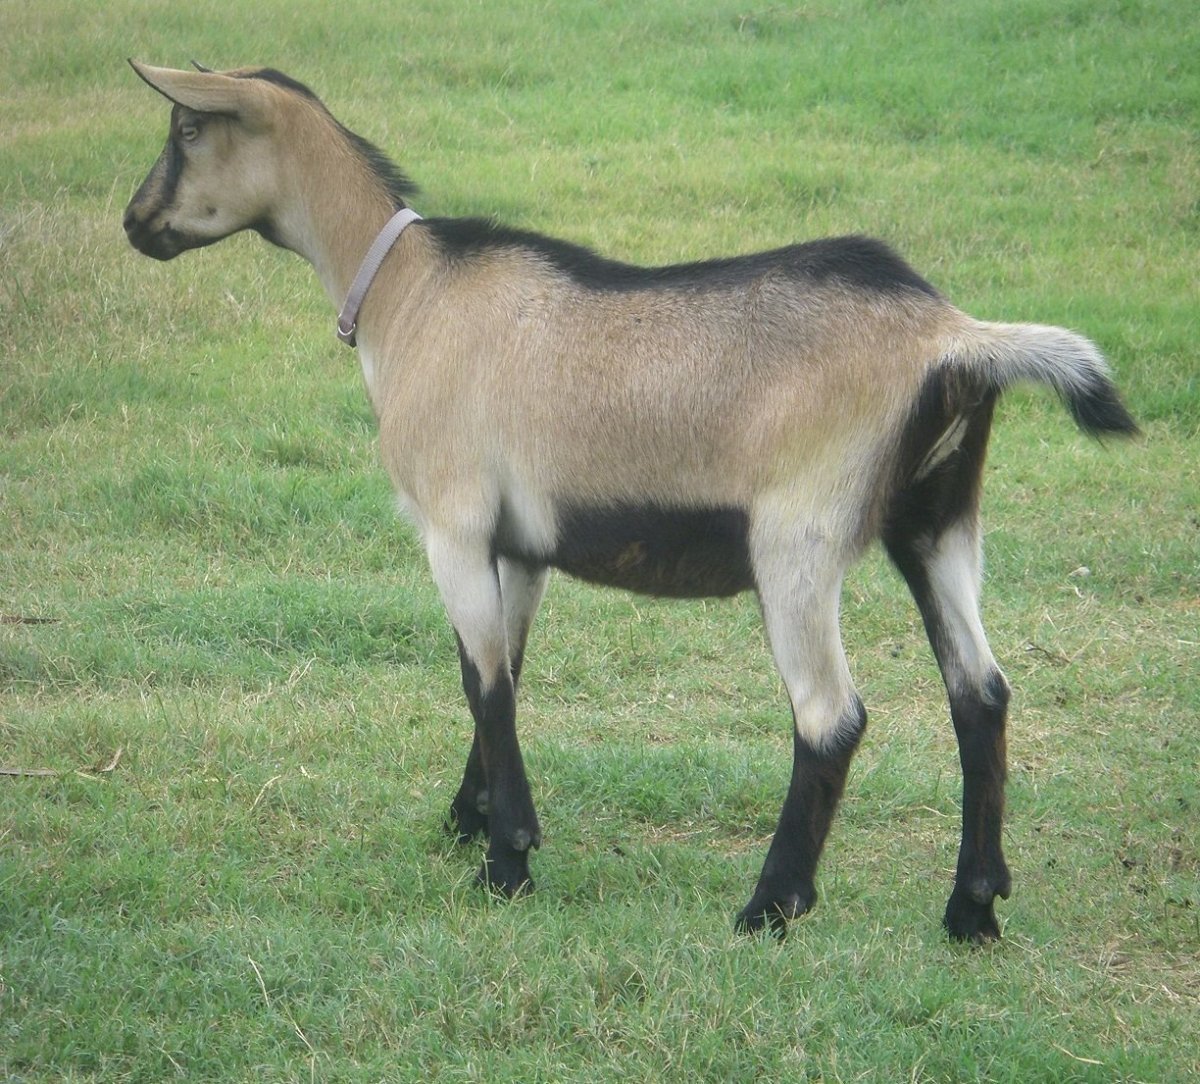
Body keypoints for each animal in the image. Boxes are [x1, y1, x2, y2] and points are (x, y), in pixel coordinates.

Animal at [123, 61, 1138, 942]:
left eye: (186, 127)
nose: (136, 222)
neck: (410, 295)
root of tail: (953, 338)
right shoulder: (520, 543)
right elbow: (506, 669)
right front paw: (470, 819)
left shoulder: (452, 523)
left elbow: (482, 679)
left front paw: (507, 861)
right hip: (937, 521)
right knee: (981, 692)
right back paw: (972, 910)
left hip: (799, 539)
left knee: (831, 716)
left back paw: (770, 908)